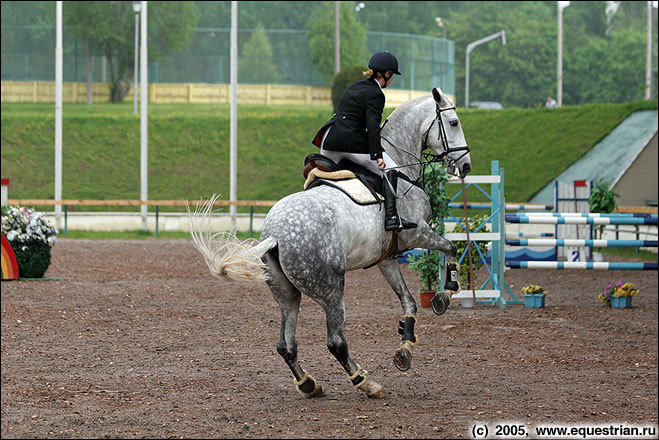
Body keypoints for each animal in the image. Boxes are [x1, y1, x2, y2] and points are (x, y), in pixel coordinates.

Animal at [188, 86, 472, 398]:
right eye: (454, 122)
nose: (466, 165)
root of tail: (276, 234)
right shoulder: (417, 233)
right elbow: (451, 247)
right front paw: (444, 295)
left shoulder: (386, 257)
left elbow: (408, 303)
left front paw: (405, 347)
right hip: (331, 290)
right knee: (336, 341)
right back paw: (366, 383)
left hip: (287, 293)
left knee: (286, 345)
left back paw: (309, 384)